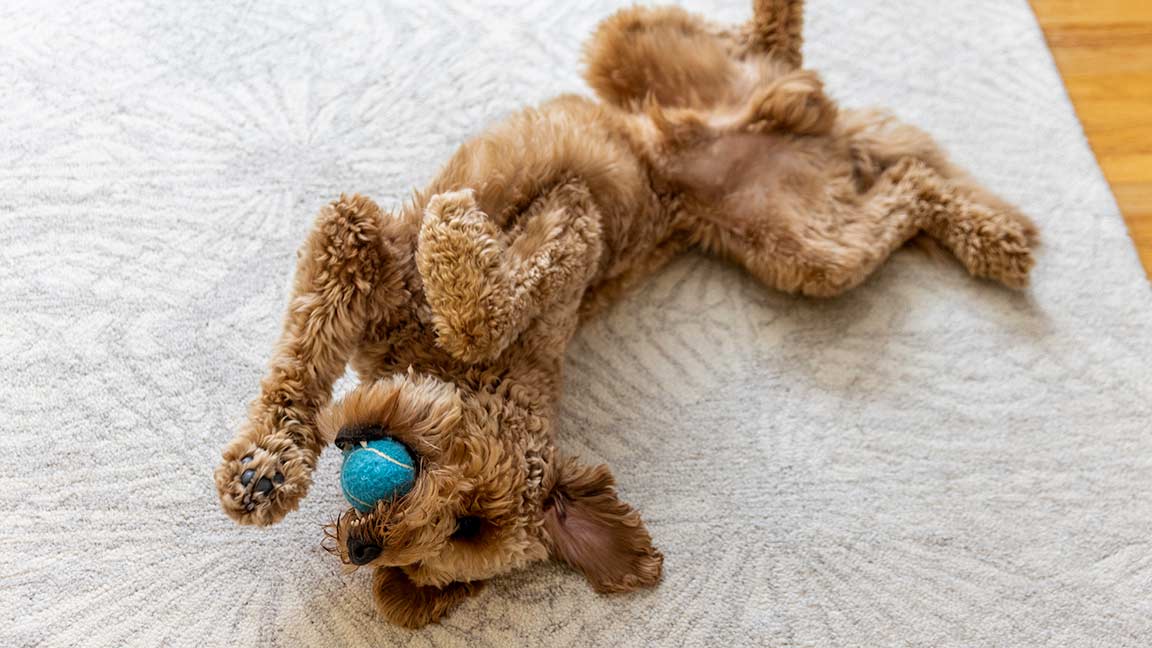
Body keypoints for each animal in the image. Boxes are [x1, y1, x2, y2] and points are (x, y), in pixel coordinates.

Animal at [214, 0, 1036, 627]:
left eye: (465, 529)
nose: (366, 547)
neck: (471, 373)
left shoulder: (567, 228)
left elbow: (485, 309)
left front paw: (456, 241)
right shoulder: (362, 239)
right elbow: (305, 359)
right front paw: (263, 471)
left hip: (809, 252)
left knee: (908, 188)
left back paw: (994, 237)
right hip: (647, 60)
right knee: (795, 71)